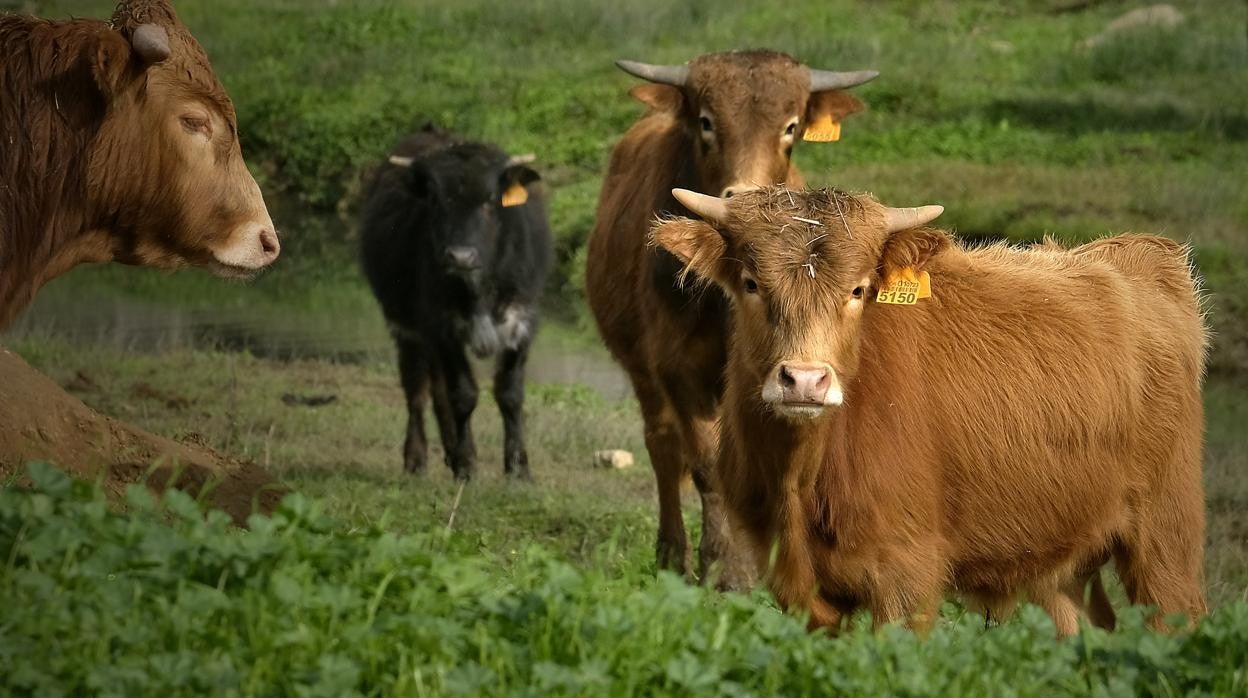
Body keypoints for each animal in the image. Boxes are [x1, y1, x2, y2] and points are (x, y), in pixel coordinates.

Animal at [360, 127, 552, 481]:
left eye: (490, 199)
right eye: (435, 199)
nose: (460, 256)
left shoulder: (521, 323)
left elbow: (510, 395)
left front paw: (518, 468)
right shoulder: (442, 327)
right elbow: (462, 395)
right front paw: (465, 465)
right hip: (406, 329)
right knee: (418, 391)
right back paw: (418, 458)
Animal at [584, 50, 879, 587]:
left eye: (791, 126)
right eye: (706, 122)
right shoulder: (675, 370)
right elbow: (705, 463)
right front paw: (724, 565)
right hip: (642, 372)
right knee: (662, 447)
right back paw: (671, 554)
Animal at [652, 186, 1207, 636]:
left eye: (858, 289)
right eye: (751, 283)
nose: (805, 380)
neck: (802, 481)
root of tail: (1139, 255)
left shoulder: (907, 576)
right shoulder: (795, 585)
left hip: (1165, 532)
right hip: (1062, 557)